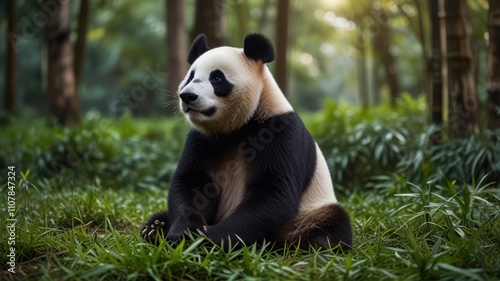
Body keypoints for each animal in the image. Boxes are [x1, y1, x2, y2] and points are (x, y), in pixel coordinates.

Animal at [141, 32, 352, 249]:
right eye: (190, 76)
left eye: (216, 78)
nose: (187, 96)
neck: (237, 127)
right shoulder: (201, 139)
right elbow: (192, 183)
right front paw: (183, 232)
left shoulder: (280, 133)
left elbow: (272, 192)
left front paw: (208, 238)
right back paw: (155, 228)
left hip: (308, 213)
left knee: (332, 222)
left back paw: (314, 243)